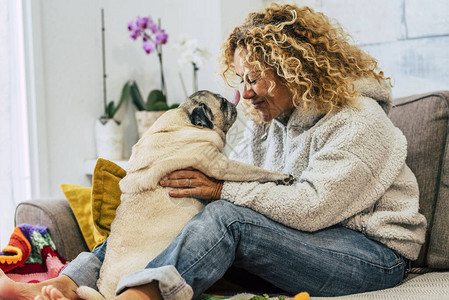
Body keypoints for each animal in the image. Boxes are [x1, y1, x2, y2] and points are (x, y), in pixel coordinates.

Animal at [77, 90, 294, 298]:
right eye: (222, 103)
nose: (232, 103)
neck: (183, 120)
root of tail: (104, 291)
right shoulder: (222, 165)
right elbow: (254, 171)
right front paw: (281, 177)